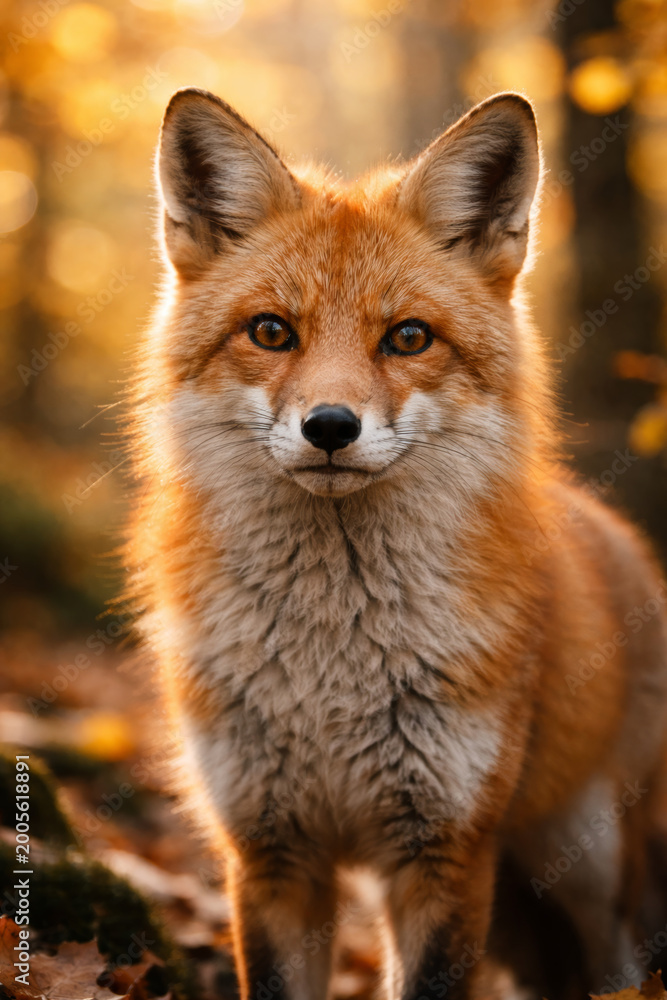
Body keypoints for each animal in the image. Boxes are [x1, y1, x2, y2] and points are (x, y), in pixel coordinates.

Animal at [125, 87, 667, 1000]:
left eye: (408, 337)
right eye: (271, 332)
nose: (330, 427)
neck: (329, 670)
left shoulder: (446, 851)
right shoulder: (269, 853)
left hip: (588, 860)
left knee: (619, 962)